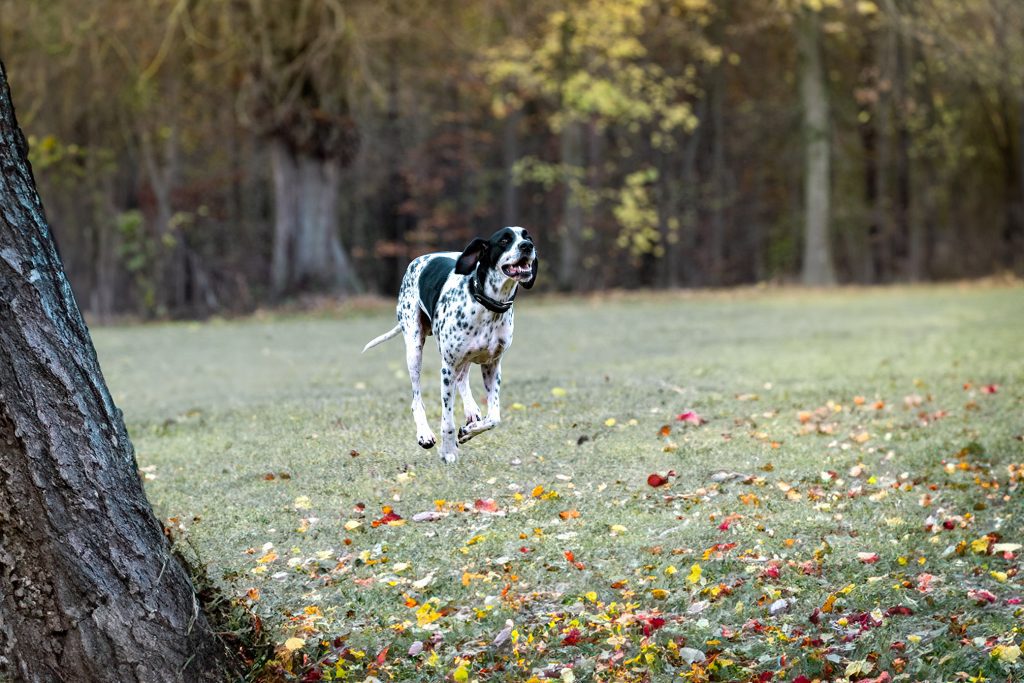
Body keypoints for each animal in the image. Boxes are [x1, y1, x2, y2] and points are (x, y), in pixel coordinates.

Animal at [362, 227, 540, 462]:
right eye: (504, 240)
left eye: (528, 237)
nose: (527, 246)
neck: (486, 306)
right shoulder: (447, 369)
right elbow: (447, 421)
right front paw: (448, 451)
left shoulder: (492, 366)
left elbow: (494, 418)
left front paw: (468, 431)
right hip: (414, 349)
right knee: (416, 399)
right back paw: (424, 433)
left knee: (462, 379)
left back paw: (471, 411)